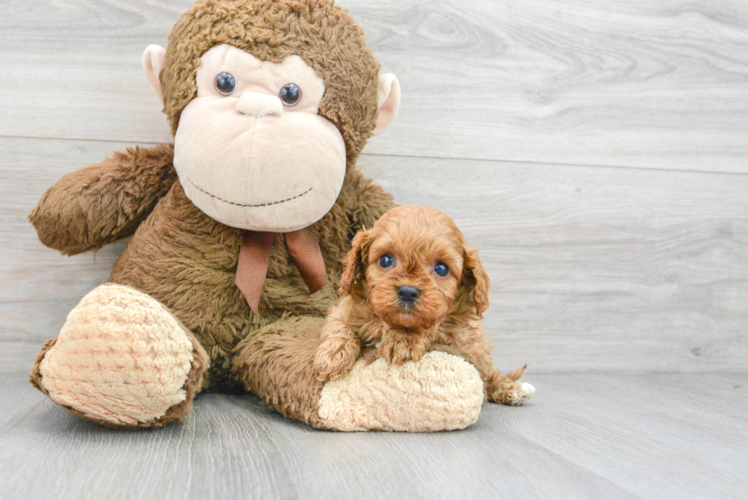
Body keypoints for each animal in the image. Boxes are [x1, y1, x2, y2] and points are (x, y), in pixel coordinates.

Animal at [312, 205, 536, 404]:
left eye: (441, 268)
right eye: (386, 260)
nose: (408, 292)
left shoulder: (453, 331)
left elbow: (432, 325)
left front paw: (403, 339)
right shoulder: (343, 311)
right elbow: (339, 328)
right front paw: (332, 356)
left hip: (477, 350)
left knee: (488, 376)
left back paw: (512, 389)